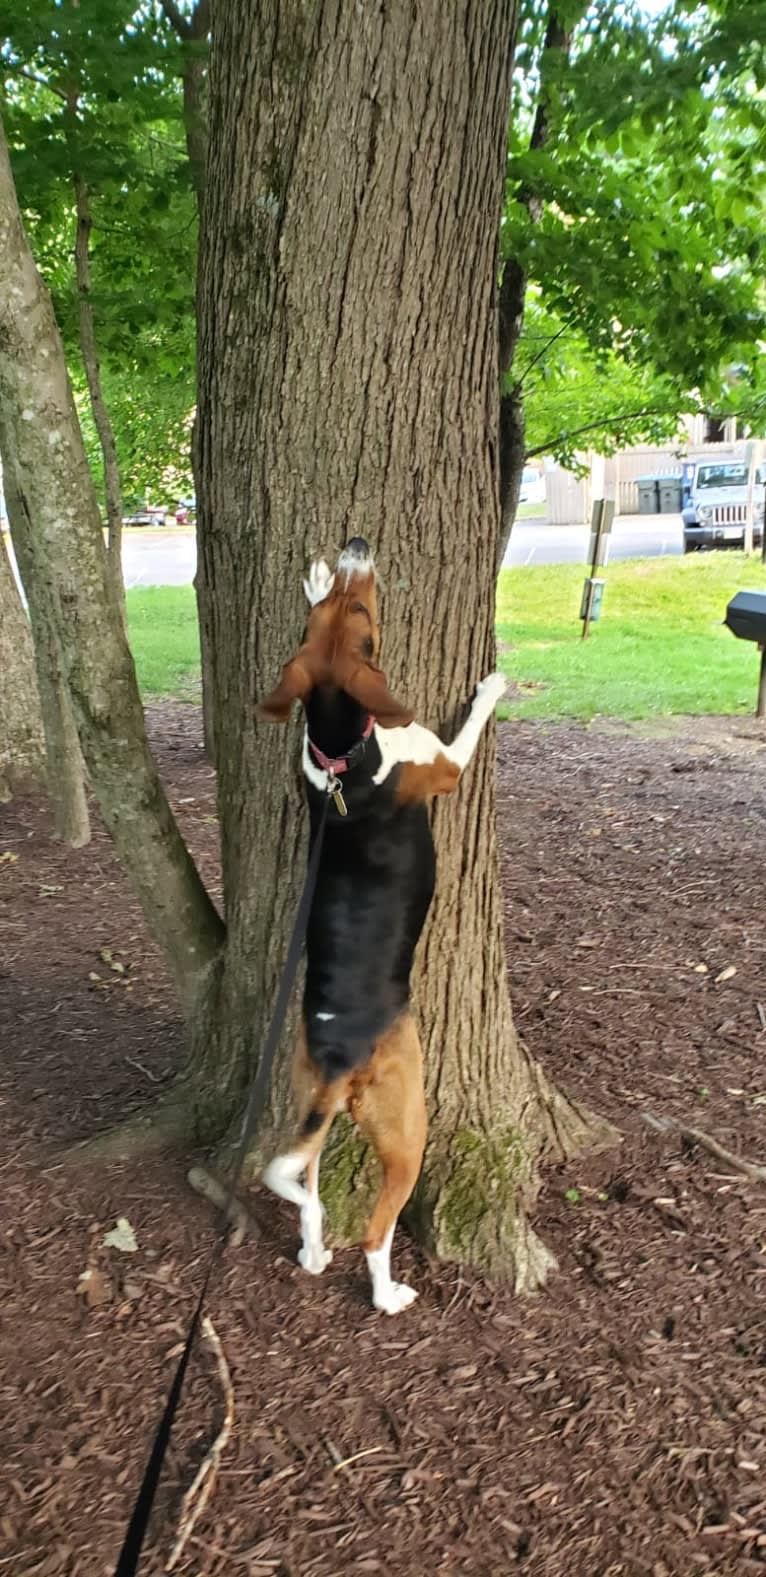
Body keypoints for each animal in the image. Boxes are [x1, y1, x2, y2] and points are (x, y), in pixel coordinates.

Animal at [258, 536, 507, 1312]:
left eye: (350, 611)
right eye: (368, 620)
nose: (356, 547)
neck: (343, 748)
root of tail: (342, 1056)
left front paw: (313, 577)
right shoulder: (446, 765)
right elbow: (467, 730)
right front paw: (492, 686)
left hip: (310, 1101)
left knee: (305, 1192)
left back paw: (311, 1249)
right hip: (408, 1128)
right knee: (374, 1230)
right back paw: (387, 1291)